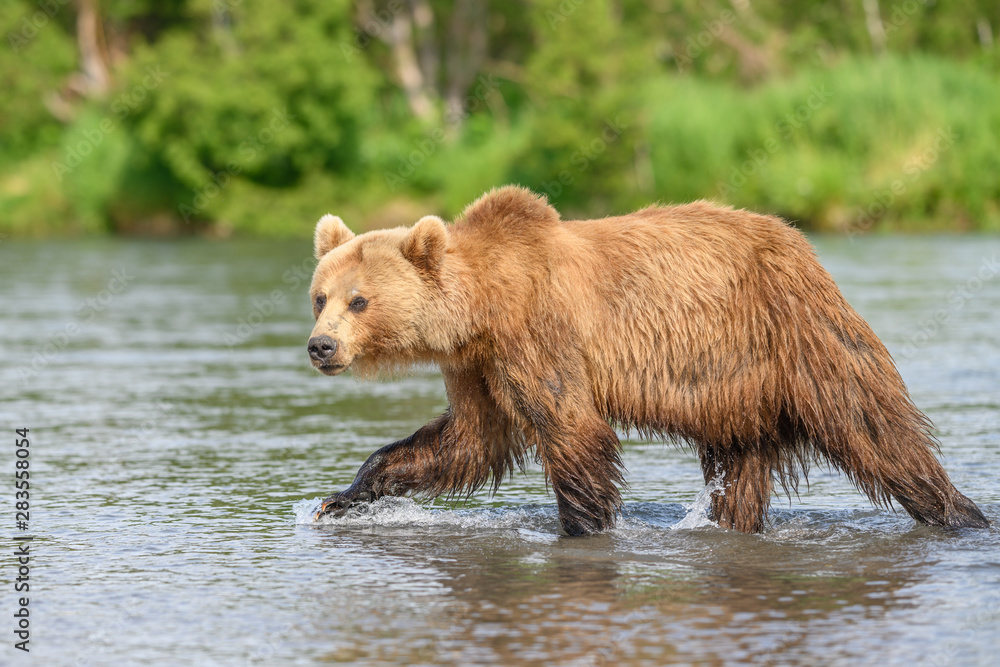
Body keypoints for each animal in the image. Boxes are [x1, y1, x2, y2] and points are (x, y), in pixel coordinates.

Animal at [306, 185, 992, 536]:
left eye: (359, 300)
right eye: (319, 296)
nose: (321, 345)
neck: (484, 305)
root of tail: (799, 240)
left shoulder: (539, 334)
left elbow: (573, 431)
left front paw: (582, 527)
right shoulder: (476, 366)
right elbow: (471, 440)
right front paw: (341, 497)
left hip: (794, 330)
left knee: (875, 426)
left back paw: (961, 513)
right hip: (734, 389)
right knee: (740, 470)